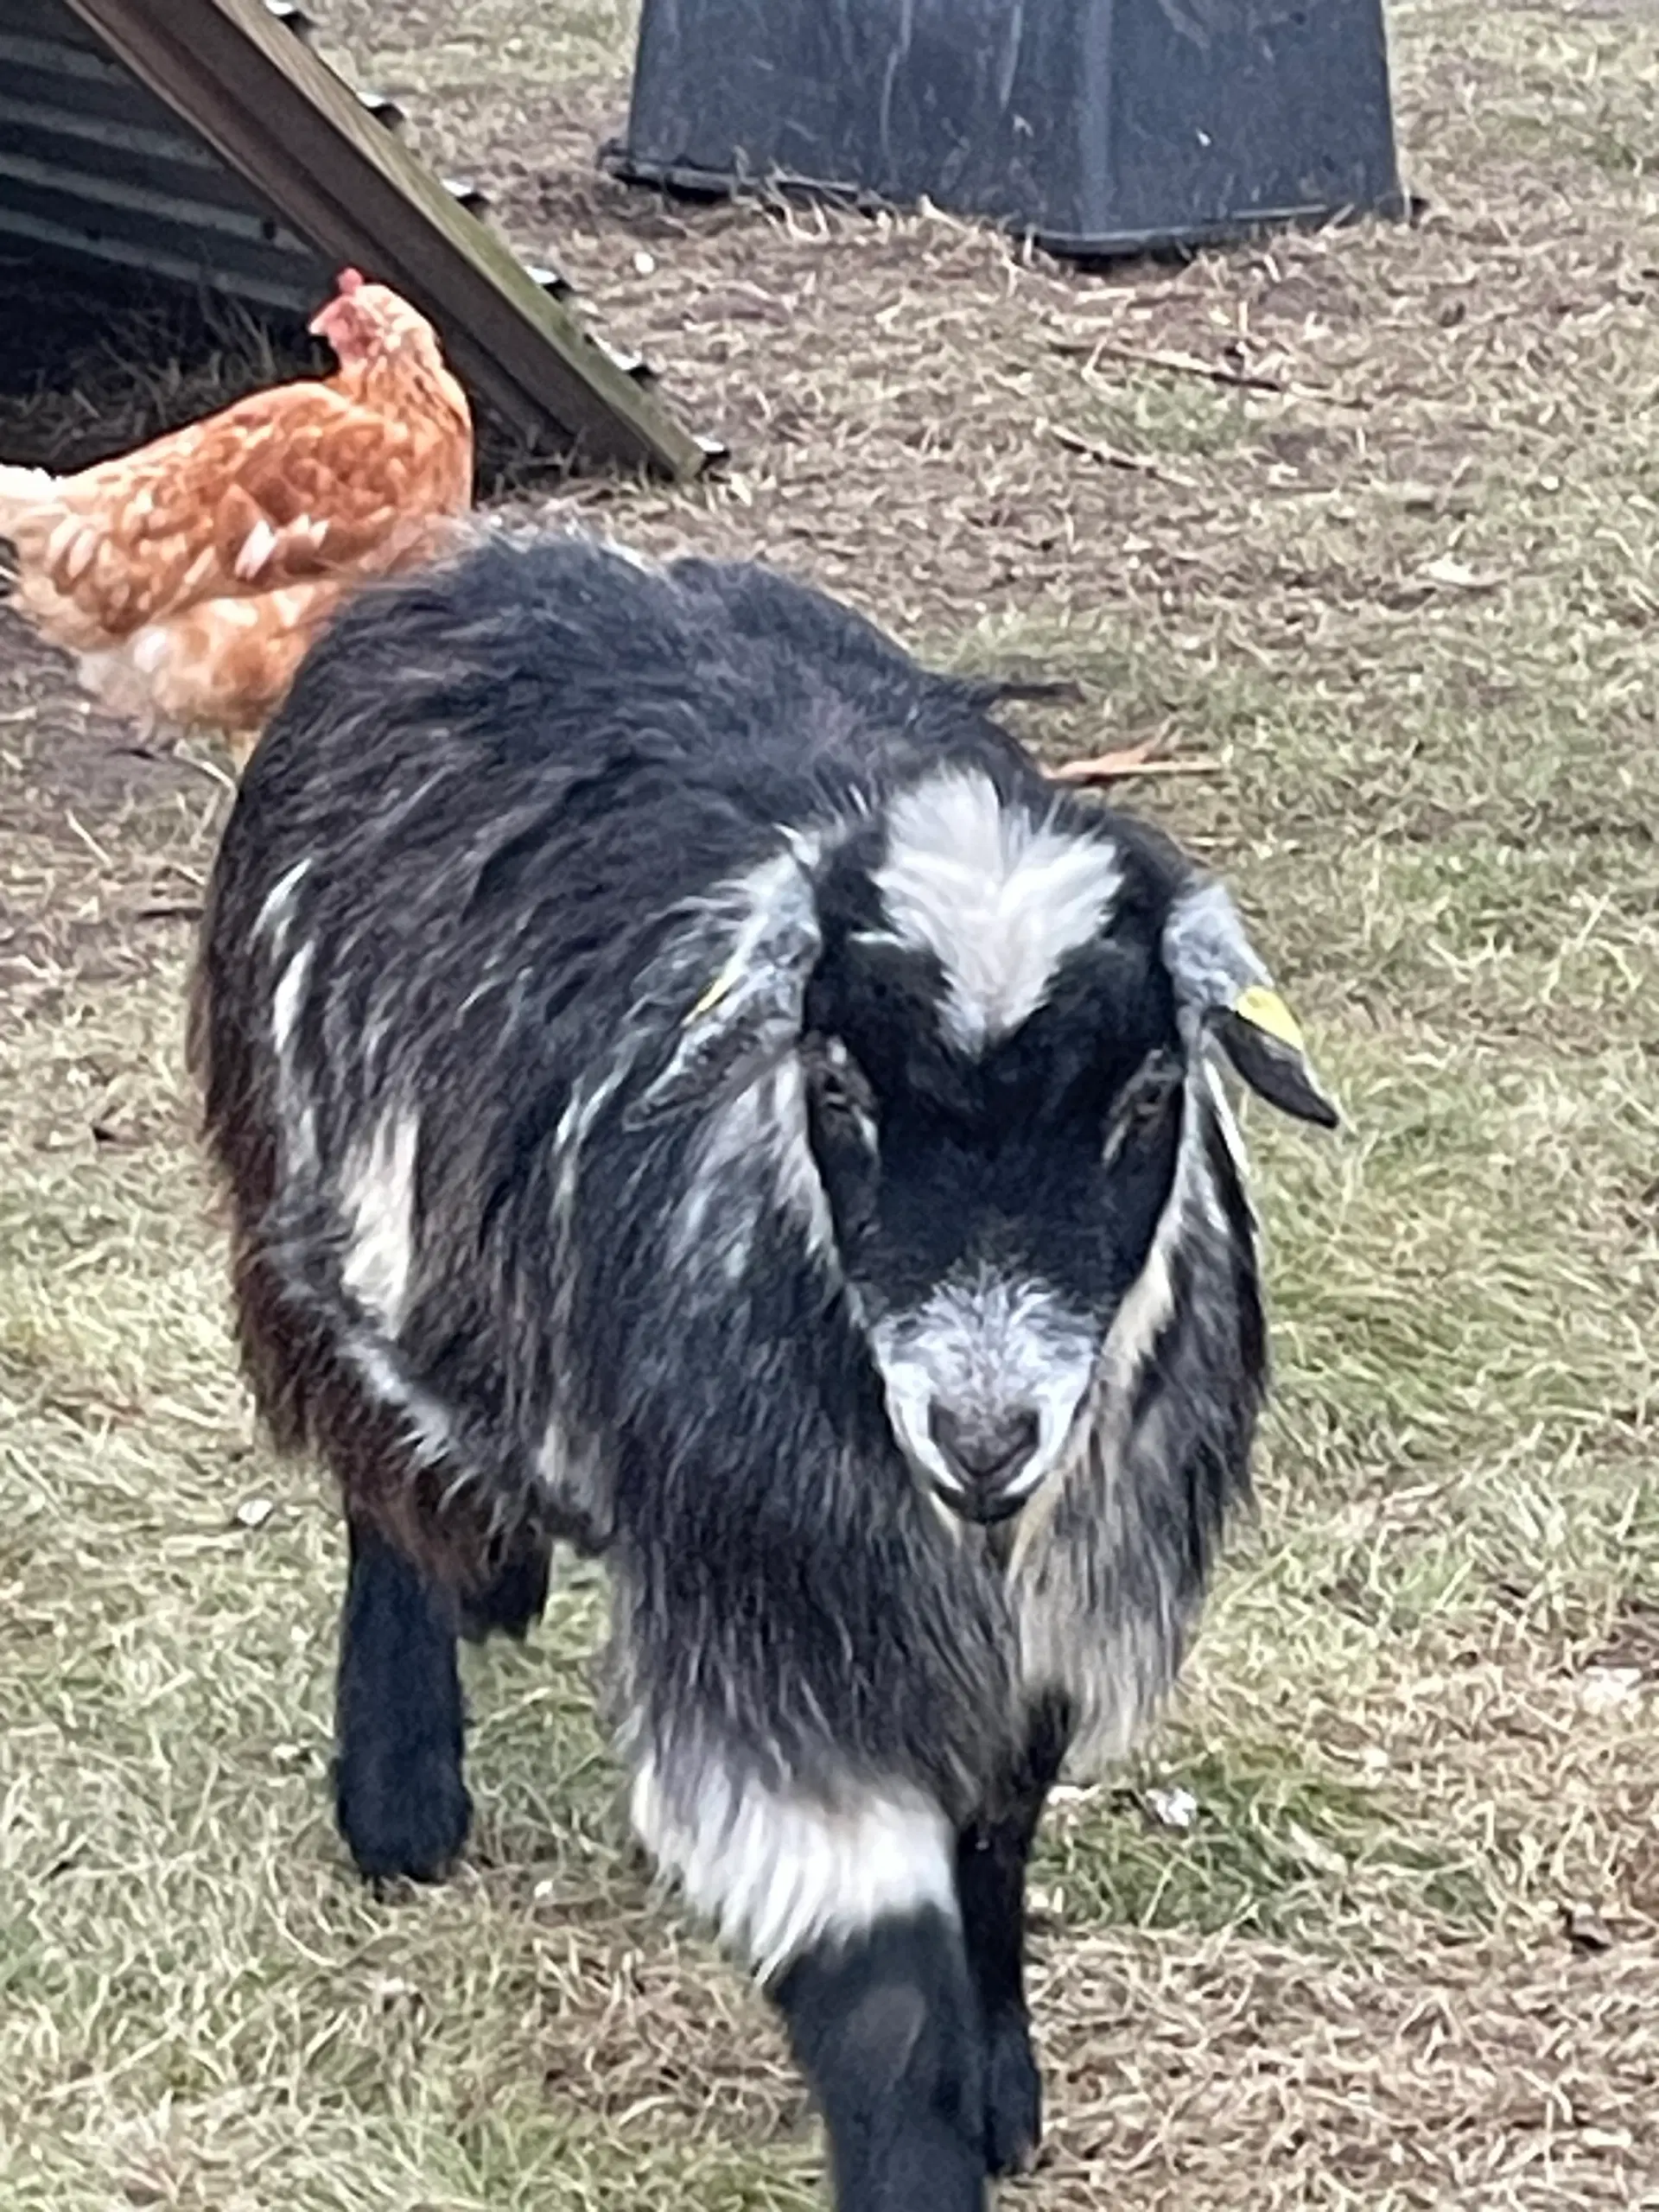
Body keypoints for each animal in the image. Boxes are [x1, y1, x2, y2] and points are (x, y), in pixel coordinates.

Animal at [194, 535, 1336, 2212]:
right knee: (380, 1458)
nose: (983, 1433)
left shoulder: (1052, 1609)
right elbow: (879, 1991)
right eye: (840, 1082)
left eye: (1145, 1094)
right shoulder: (779, 1619)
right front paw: (931, 2147)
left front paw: (1005, 2082)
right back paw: (401, 1789)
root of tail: (503, 559)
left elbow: (997, 1834)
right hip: (326, 1193)